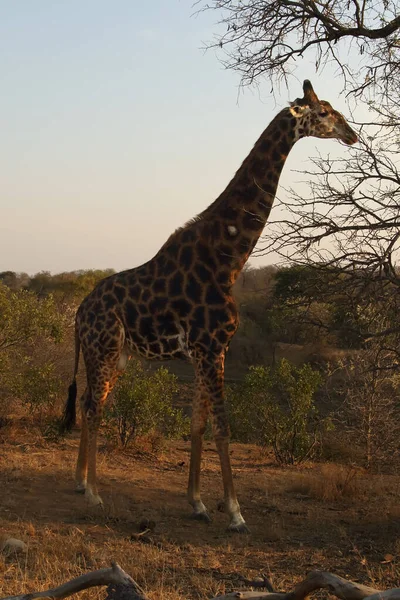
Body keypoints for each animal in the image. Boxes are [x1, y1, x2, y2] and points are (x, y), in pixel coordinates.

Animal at [62, 81, 356, 536]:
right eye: (324, 112)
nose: (352, 134)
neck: (227, 259)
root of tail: (78, 314)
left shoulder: (208, 351)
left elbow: (197, 424)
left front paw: (198, 503)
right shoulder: (211, 347)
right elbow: (222, 427)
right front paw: (235, 512)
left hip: (113, 355)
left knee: (92, 404)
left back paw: (80, 482)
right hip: (105, 348)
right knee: (93, 408)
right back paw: (94, 493)